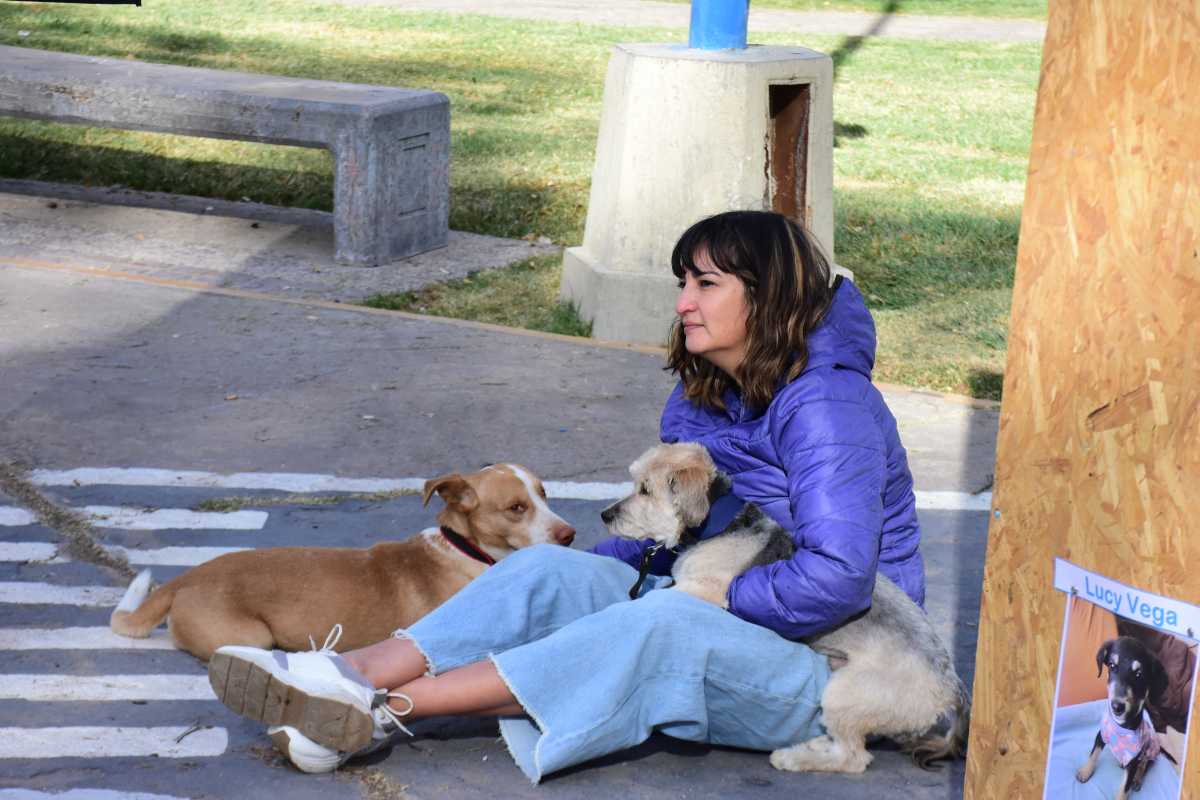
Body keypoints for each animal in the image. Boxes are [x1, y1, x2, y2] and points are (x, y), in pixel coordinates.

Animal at [109, 462, 571, 662]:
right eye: (515, 508)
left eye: (544, 494)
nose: (570, 535)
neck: (465, 549)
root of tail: (185, 578)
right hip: (250, 636)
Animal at [604, 443, 969, 777]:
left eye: (645, 490)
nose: (605, 515)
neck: (718, 526)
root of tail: (950, 687)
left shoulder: (705, 590)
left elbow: (654, 598)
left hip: (845, 693)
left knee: (853, 758)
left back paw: (793, 758)